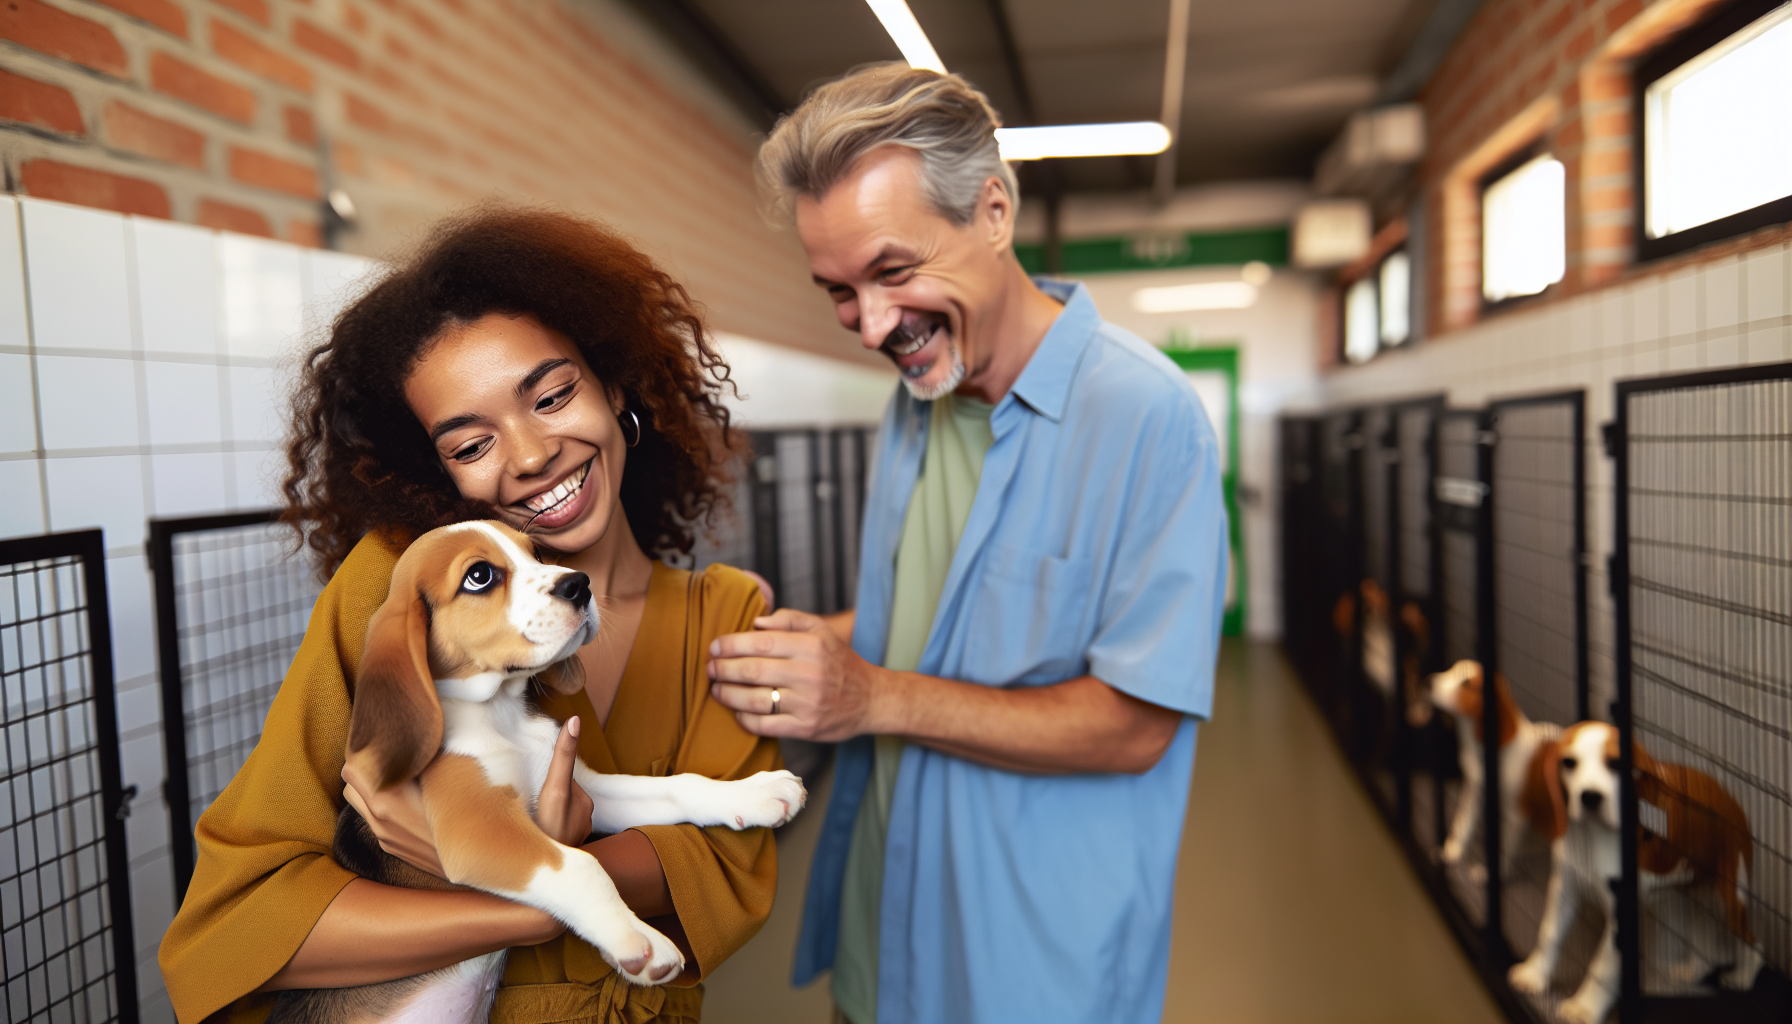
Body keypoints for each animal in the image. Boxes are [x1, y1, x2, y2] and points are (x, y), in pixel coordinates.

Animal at [268, 523, 809, 1024]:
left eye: (537, 553)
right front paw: (639, 939)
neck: (500, 713)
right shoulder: (477, 829)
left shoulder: (580, 787)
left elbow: (679, 787)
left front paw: (757, 792)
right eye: (479, 576)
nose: (580, 584)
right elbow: (581, 865)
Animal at [1419, 663, 1562, 875]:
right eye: (1450, 669)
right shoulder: (1473, 791)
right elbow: (1462, 822)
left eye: (1466, 683)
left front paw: (1489, 874)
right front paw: (1452, 850)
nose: (1428, 681)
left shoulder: (1514, 817)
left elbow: (1503, 849)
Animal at [1505, 720, 1756, 1024]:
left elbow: (1602, 967)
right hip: (1687, 896)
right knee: (1706, 942)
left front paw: (1584, 1009)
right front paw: (1534, 975)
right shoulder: (1564, 887)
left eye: (1615, 763)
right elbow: (1549, 933)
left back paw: (1743, 976)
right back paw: (1693, 971)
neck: (1593, 835)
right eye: (1569, 762)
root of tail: (1725, 795)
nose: (1590, 797)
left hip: (1731, 895)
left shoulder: (1622, 914)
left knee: (1750, 939)